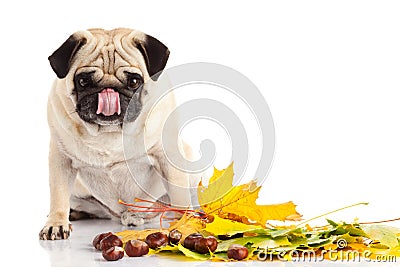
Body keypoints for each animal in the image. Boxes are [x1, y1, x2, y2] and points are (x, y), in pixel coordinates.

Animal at [38, 28, 194, 242]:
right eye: (83, 81)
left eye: (134, 81)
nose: (109, 90)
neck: (109, 132)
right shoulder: (60, 159)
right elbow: (58, 195)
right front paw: (56, 223)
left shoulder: (167, 156)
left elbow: (180, 196)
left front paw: (185, 224)